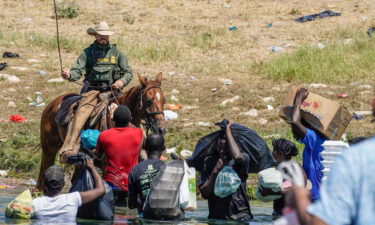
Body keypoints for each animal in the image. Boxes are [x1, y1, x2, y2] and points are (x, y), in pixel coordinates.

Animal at [37, 72, 167, 190]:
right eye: (149, 101)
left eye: (164, 101)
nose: (161, 128)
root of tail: (52, 103)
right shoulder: (106, 164)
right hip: (49, 149)